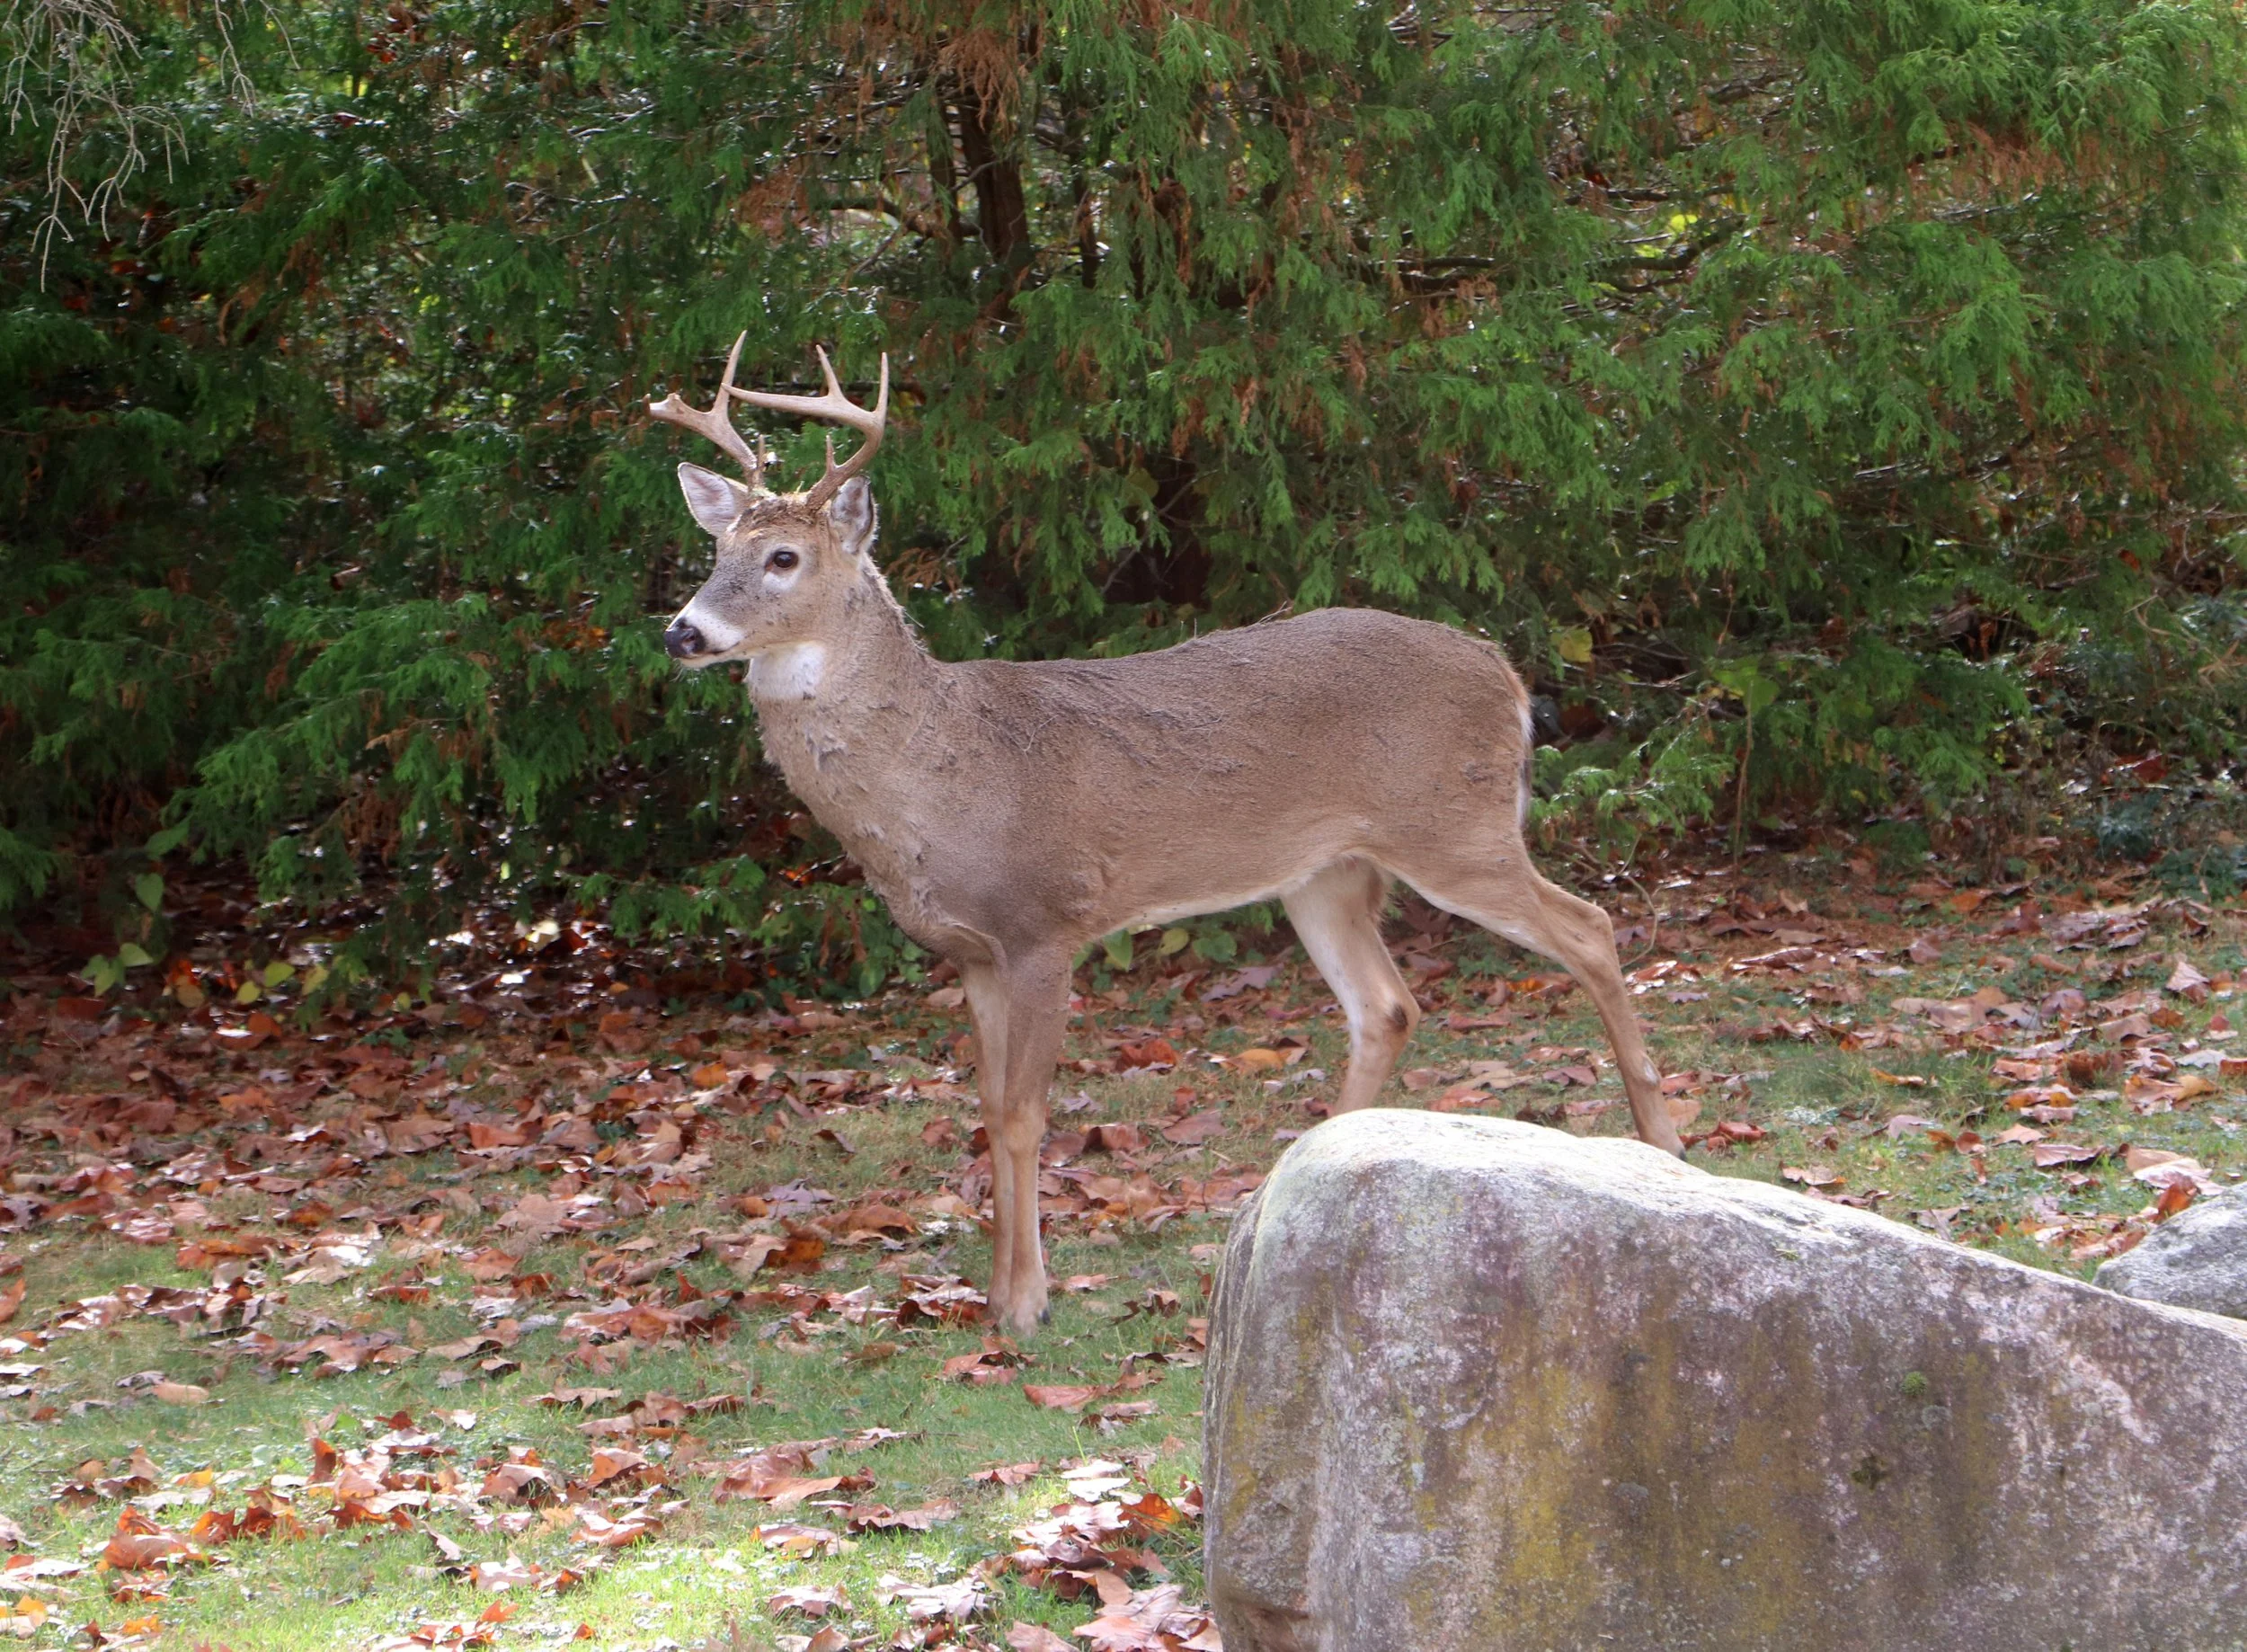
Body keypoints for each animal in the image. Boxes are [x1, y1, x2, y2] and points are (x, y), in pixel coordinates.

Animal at [648, 336, 1685, 1332]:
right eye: (713, 553)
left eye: (784, 558)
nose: (682, 632)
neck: (938, 776)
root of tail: (1505, 673)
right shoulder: (972, 953)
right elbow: (986, 1107)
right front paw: (994, 1293)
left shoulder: (1045, 921)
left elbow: (1023, 1114)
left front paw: (1026, 1302)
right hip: (1326, 872)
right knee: (1386, 1005)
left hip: (1452, 824)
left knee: (1590, 927)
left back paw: (1665, 1146)